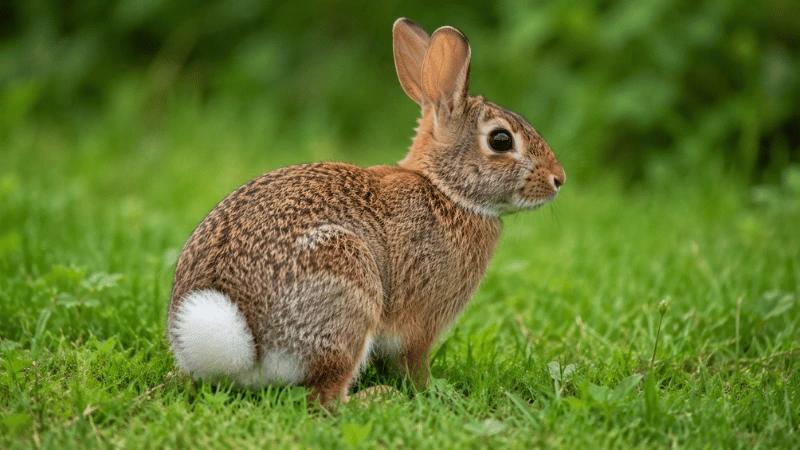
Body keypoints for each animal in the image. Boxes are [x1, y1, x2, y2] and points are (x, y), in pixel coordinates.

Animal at [167, 17, 566, 406]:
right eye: (501, 140)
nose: (558, 179)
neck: (446, 190)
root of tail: (245, 348)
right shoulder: (420, 324)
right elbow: (414, 362)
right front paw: (430, 390)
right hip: (348, 290)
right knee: (325, 397)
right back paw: (377, 398)